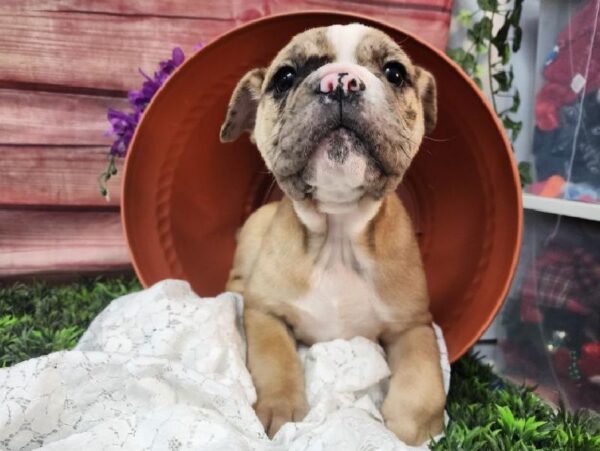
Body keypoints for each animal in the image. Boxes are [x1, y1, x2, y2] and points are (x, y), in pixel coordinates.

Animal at [220, 23, 446, 446]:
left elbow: (424, 386)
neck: (338, 233)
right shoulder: (266, 312)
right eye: (285, 77)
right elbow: (275, 357)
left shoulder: (413, 326)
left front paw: (403, 432)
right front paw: (280, 410)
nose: (340, 81)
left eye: (394, 72)